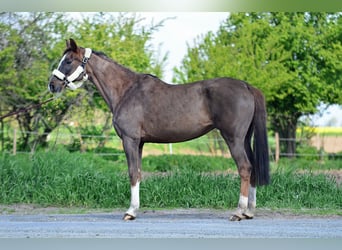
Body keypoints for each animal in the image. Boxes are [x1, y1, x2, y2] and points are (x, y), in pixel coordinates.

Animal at [48, 39, 268, 221]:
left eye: (68, 61)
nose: (52, 85)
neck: (126, 91)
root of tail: (246, 86)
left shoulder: (130, 140)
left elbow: (132, 173)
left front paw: (130, 212)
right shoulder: (140, 143)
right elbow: (138, 173)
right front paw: (135, 209)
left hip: (233, 139)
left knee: (245, 168)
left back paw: (239, 212)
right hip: (245, 139)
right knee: (253, 168)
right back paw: (249, 212)